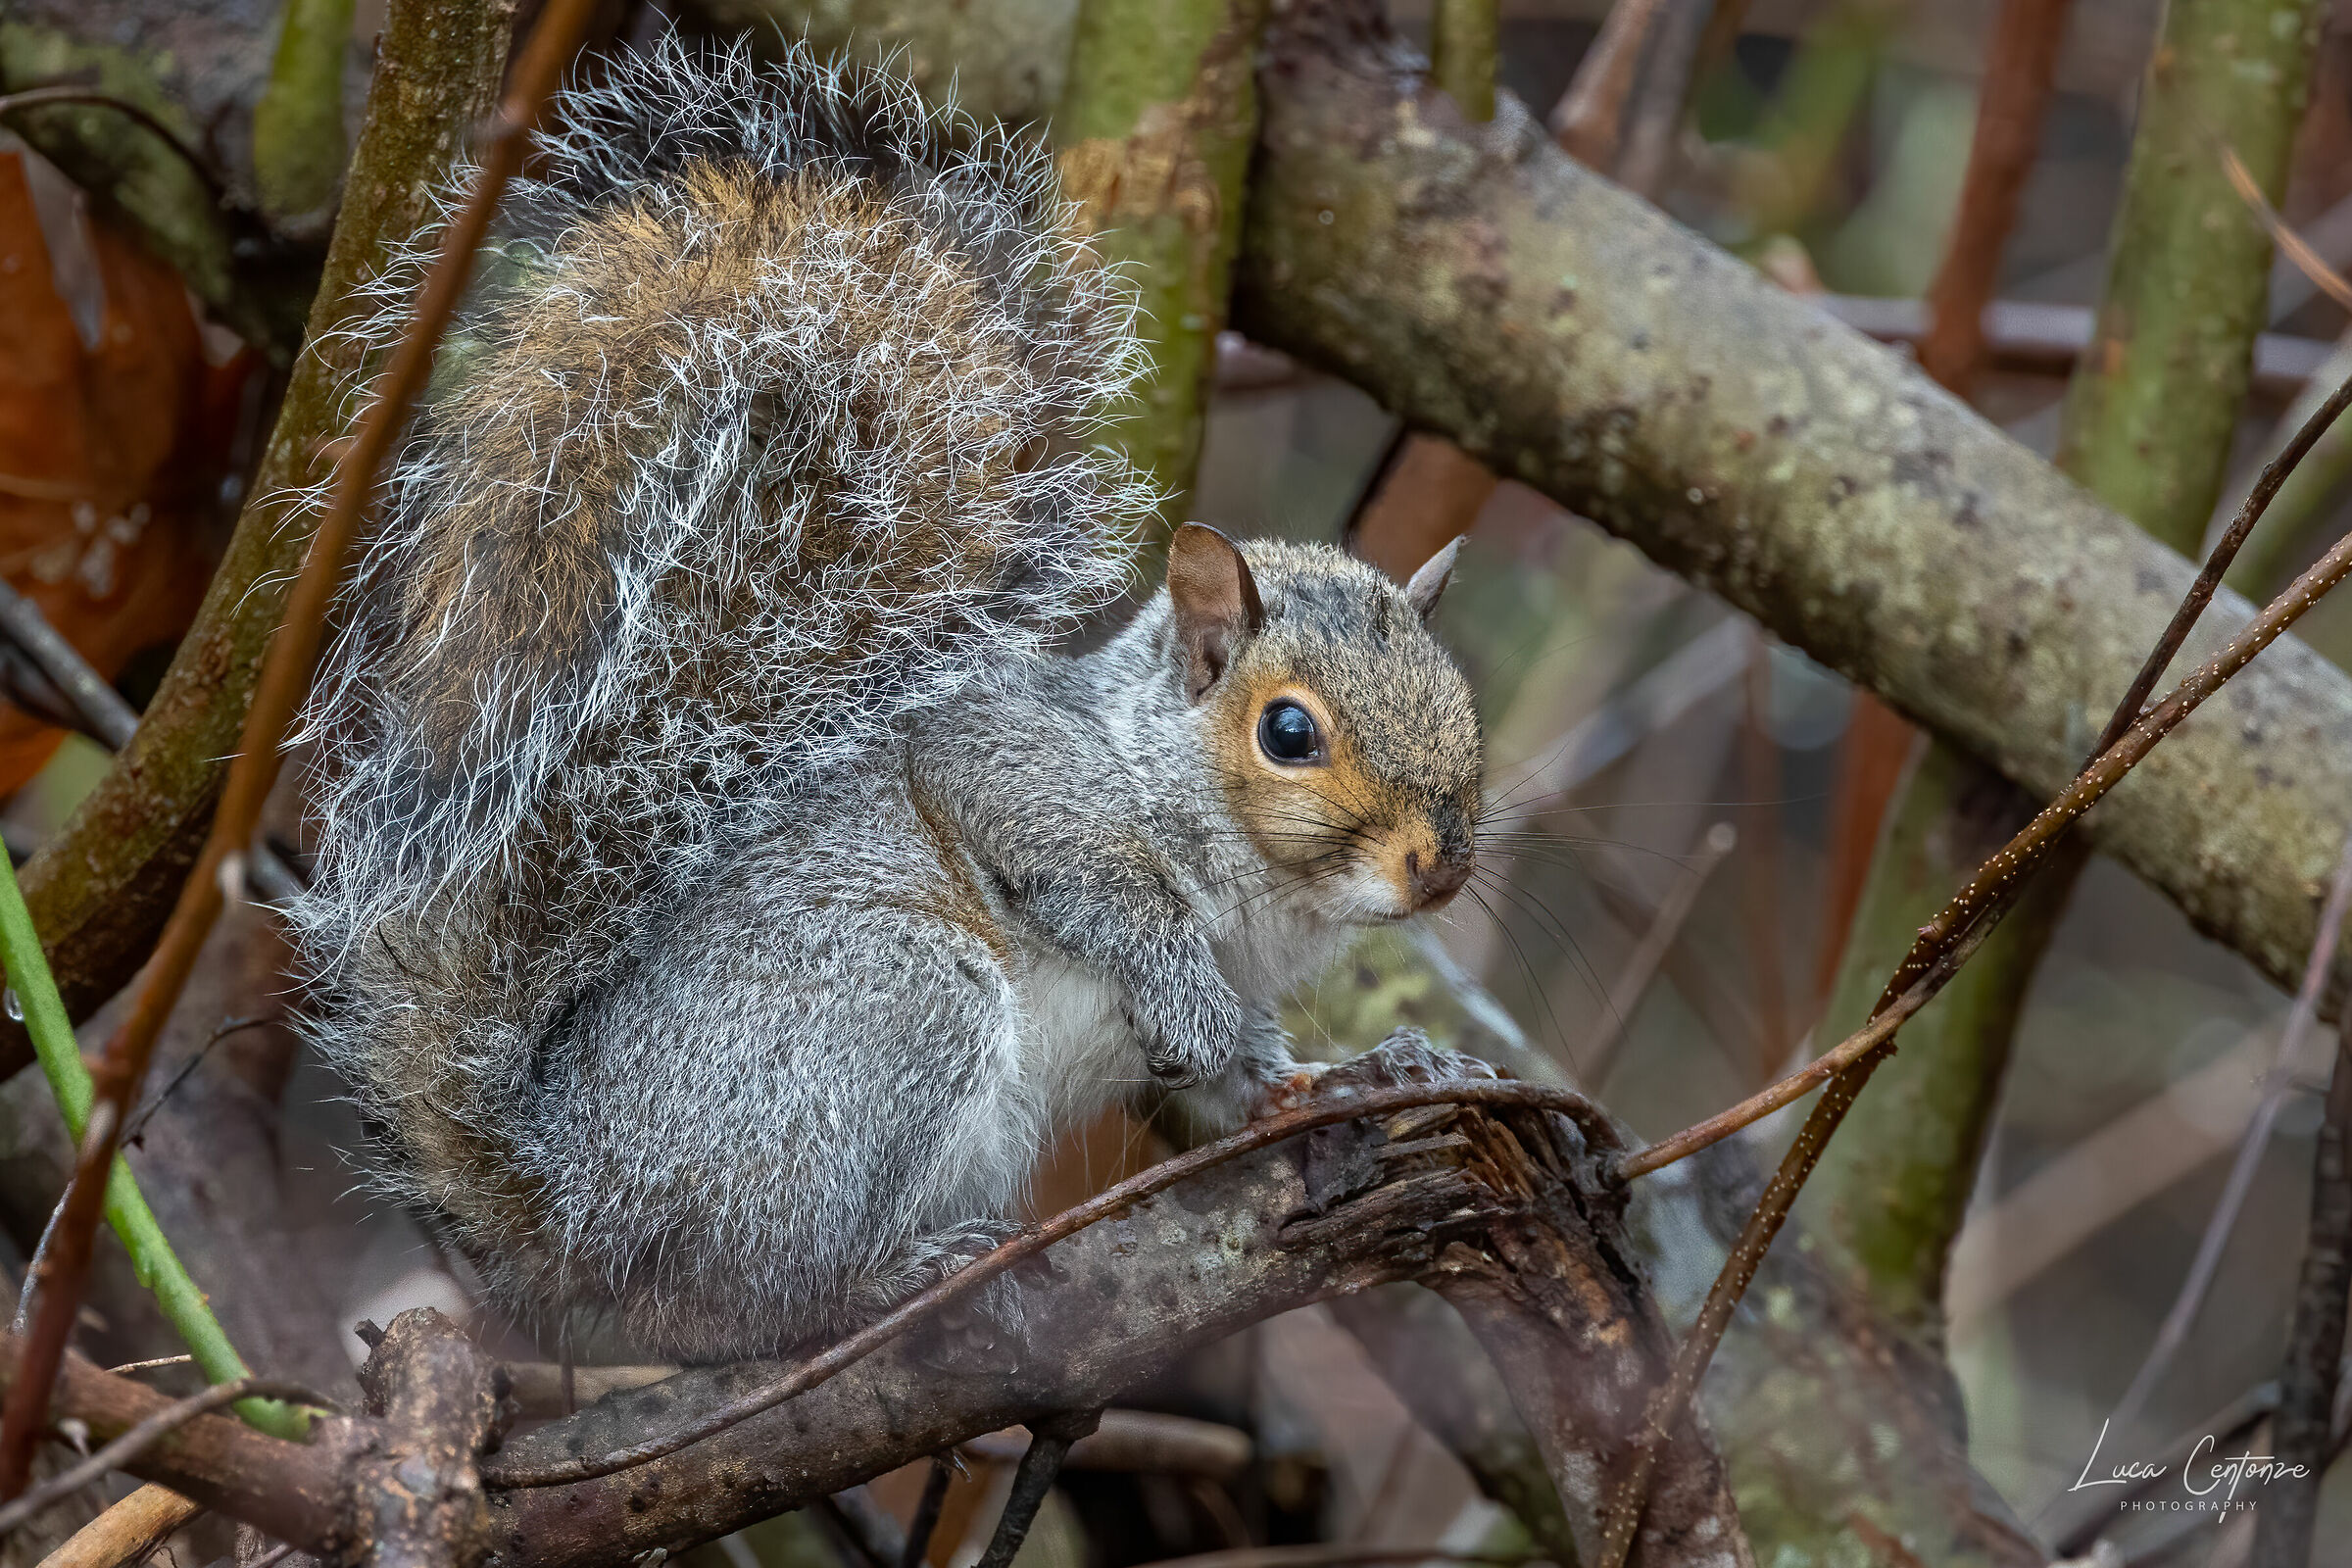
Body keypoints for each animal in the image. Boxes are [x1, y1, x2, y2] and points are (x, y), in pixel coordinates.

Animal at [289, 36, 1486, 1360]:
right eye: (1288, 732)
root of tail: (575, 1207)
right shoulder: (1020, 767)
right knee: (748, 1298)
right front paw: (1190, 995)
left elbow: (1248, 1087)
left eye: (1464, 707)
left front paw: (1357, 1076)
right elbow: (1095, 886)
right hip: (892, 1011)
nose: (1437, 869)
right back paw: (887, 1278)